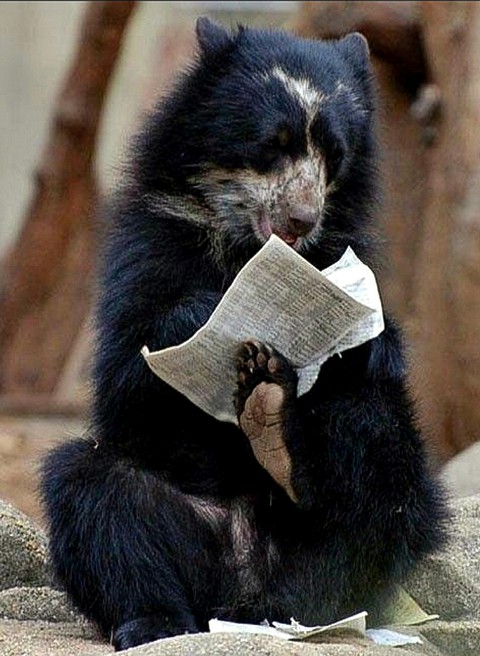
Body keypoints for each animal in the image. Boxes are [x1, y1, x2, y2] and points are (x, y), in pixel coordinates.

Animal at [40, 18, 447, 651]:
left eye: (334, 155)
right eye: (272, 145)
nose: (302, 219)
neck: (245, 247)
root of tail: (248, 594)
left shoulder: (348, 246)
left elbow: (375, 355)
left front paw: (369, 338)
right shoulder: (146, 242)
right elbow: (125, 376)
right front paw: (206, 316)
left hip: (351, 535)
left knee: (386, 468)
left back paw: (274, 431)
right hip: (175, 533)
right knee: (93, 490)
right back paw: (153, 620)